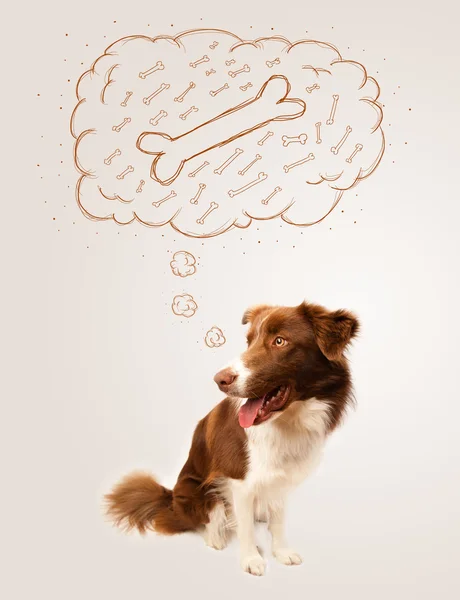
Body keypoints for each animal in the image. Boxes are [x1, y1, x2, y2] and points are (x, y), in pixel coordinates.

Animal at [107, 302, 360, 576]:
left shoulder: (281, 480)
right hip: (196, 490)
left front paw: (281, 552)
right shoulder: (238, 479)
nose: (220, 380)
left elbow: (278, 520)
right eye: (249, 341)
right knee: (211, 516)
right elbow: (245, 525)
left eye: (279, 341)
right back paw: (216, 537)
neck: (287, 423)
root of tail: (170, 498)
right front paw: (251, 559)